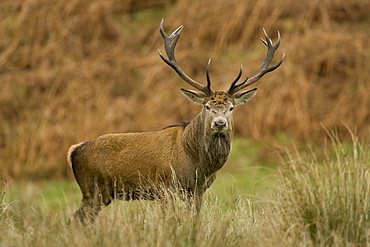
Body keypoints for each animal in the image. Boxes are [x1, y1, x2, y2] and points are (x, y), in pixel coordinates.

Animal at [68, 18, 284, 225]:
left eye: (231, 108)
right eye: (207, 107)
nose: (220, 124)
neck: (198, 165)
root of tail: (73, 151)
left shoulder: (197, 191)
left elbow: (194, 219)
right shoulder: (166, 187)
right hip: (93, 189)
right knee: (76, 220)